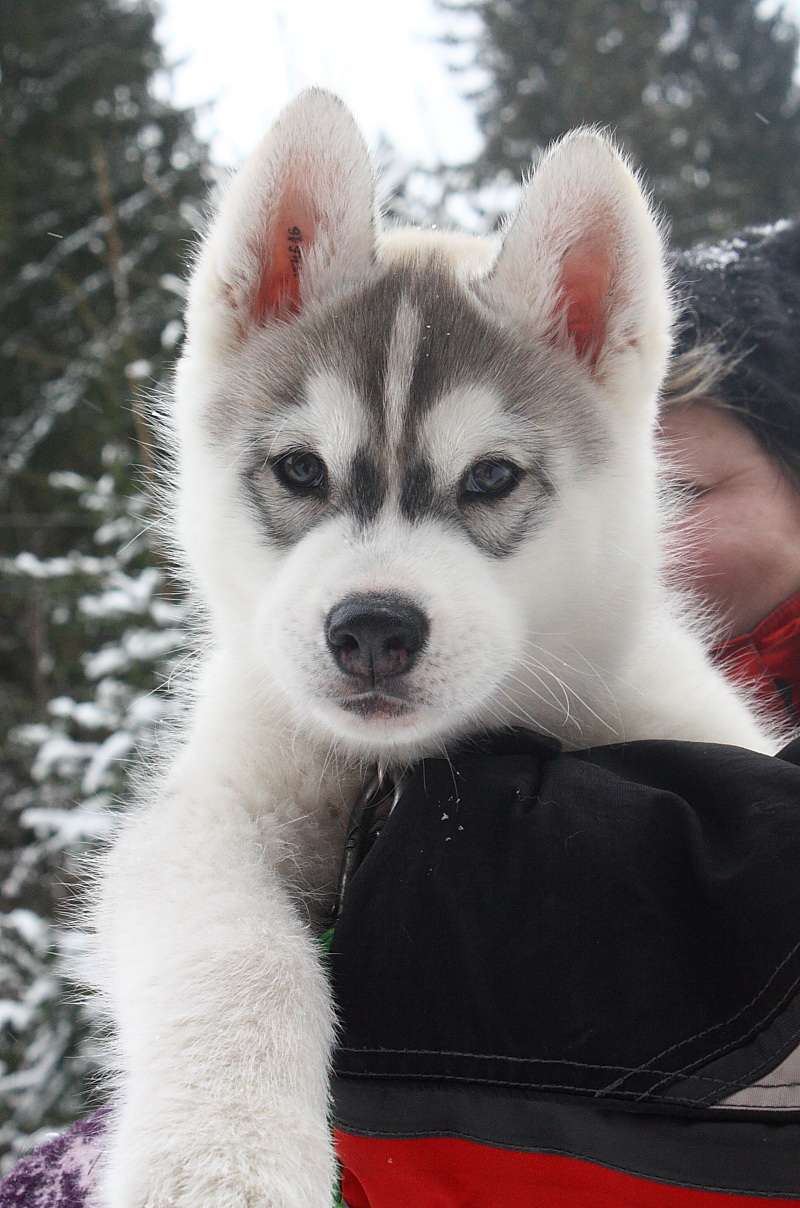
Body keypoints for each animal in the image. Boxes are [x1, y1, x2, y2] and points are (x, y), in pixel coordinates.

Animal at [92, 89, 778, 1203]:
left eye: (491, 478)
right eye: (299, 469)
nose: (372, 627)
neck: (392, 766)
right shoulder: (203, 816)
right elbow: (237, 949)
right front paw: (221, 1157)